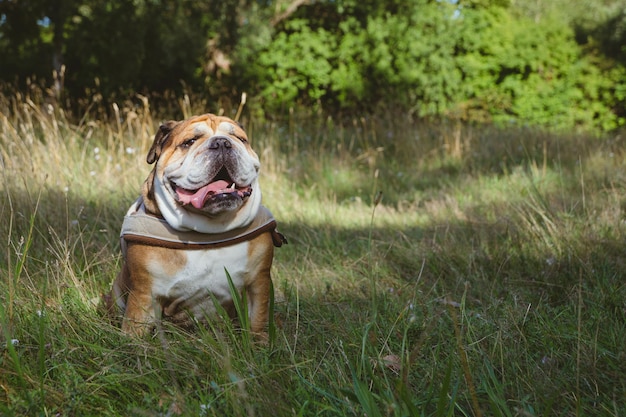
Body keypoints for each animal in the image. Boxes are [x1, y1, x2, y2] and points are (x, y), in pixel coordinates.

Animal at [106, 113, 284, 334]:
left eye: (240, 139)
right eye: (189, 142)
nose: (222, 142)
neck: (209, 231)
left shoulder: (258, 285)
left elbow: (257, 324)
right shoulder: (144, 294)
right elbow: (135, 330)